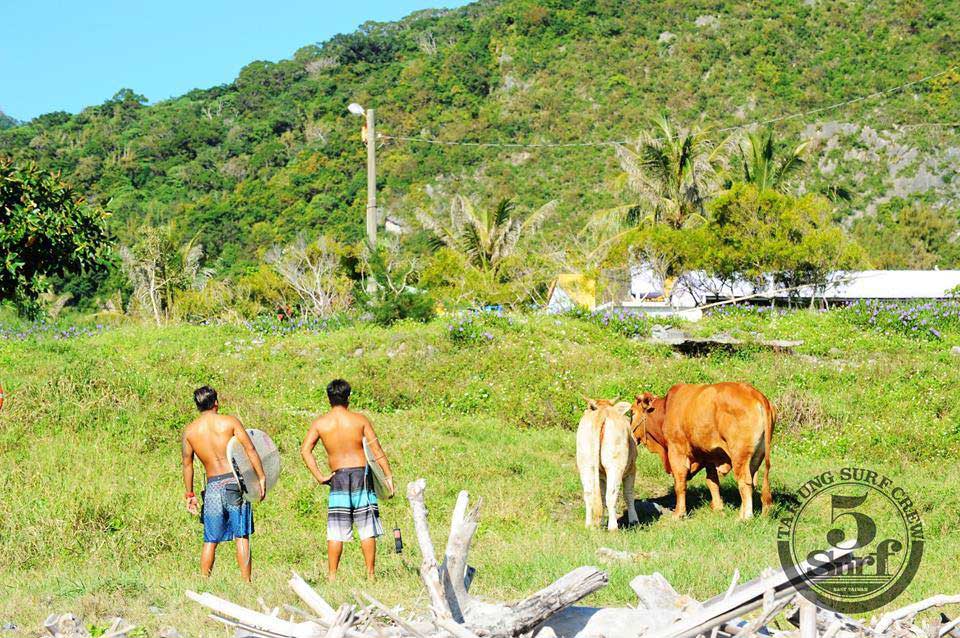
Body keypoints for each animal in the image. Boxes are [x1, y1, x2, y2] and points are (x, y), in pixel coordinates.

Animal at [576, 400, 636, 528]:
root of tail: (601, 412)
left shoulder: (601, 476)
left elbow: (601, 497)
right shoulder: (631, 470)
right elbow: (628, 494)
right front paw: (634, 520)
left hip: (585, 464)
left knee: (589, 494)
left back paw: (589, 525)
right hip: (615, 465)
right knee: (611, 495)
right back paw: (613, 527)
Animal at [632, 384, 776, 520]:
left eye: (632, 413)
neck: (665, 410)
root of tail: (757, 395)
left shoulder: (676, 451)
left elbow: (679, 483)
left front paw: (678, 514)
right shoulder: (709, 456)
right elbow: (712, 482)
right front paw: (718, 508)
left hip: (739, 456)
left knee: (745, 482)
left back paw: (744, 517)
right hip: (757, 456)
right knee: (752, 482)